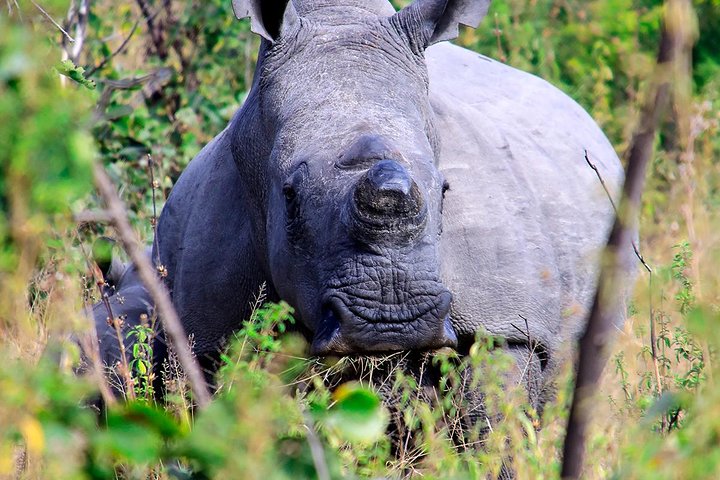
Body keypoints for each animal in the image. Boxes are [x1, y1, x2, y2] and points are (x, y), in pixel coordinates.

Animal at [94, 0, 624, 408]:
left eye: (445, 191)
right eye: (289, 197)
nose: (391, 318)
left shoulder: (508, 323)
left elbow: (494, 426)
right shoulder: (206, 335)